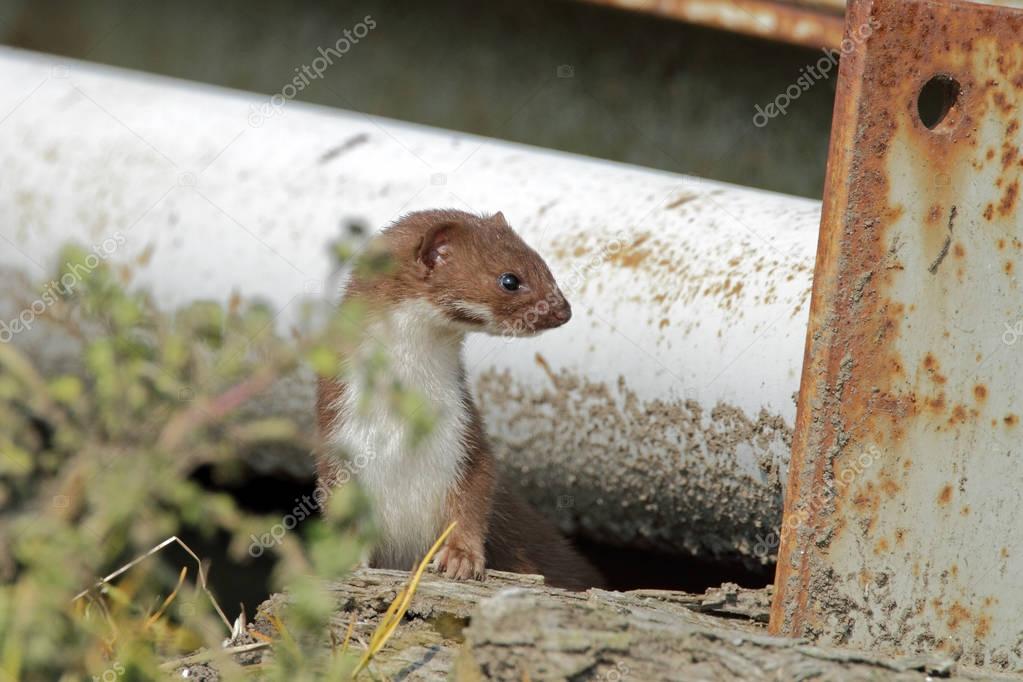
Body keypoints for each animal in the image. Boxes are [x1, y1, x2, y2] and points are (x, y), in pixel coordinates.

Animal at [315, 209, 601, 593]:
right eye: (510, 279)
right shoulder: (337, 444)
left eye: (543, 263)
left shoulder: (466, 439)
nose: (564, 311)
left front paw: (460, 557)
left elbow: (474, 499)